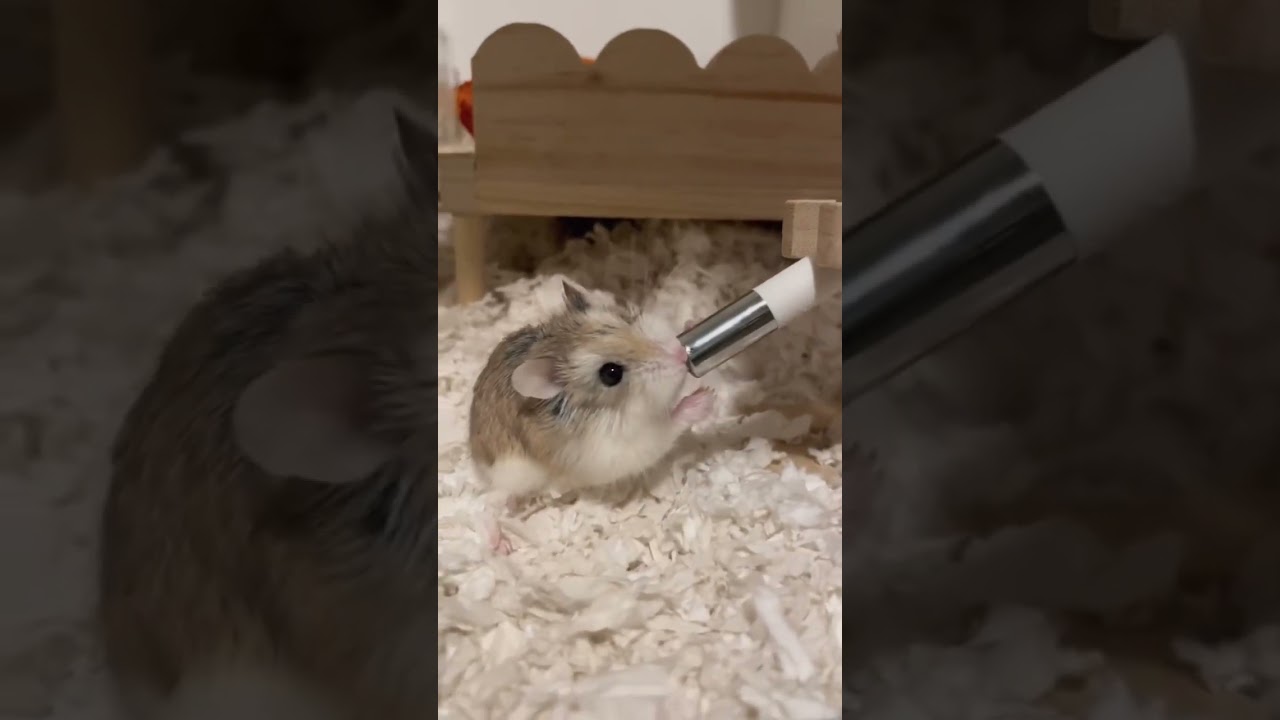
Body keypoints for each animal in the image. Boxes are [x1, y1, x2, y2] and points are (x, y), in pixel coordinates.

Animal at [468, 282, 716, 536]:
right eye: (611, 374)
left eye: (626, 317)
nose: (680, 355)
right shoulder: (619, 449)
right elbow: (667, 428)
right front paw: (705, 398)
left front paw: (691, 323)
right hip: (513, 478)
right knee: (487, 506)